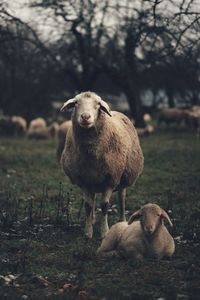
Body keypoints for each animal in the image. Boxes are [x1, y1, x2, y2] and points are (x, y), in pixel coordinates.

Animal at [60, 91, 143, 239]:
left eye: (98, 104)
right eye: (76, 103)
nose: (85, 117)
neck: (90, 154)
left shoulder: (111, 179)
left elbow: (104, 205)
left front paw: (104, 232)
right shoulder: (84, 180)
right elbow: (88, 205)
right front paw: (88, 232)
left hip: (123, 178)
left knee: (122, 200)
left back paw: (122, 221)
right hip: (93, 181)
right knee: (92, 202)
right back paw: (92, 220)